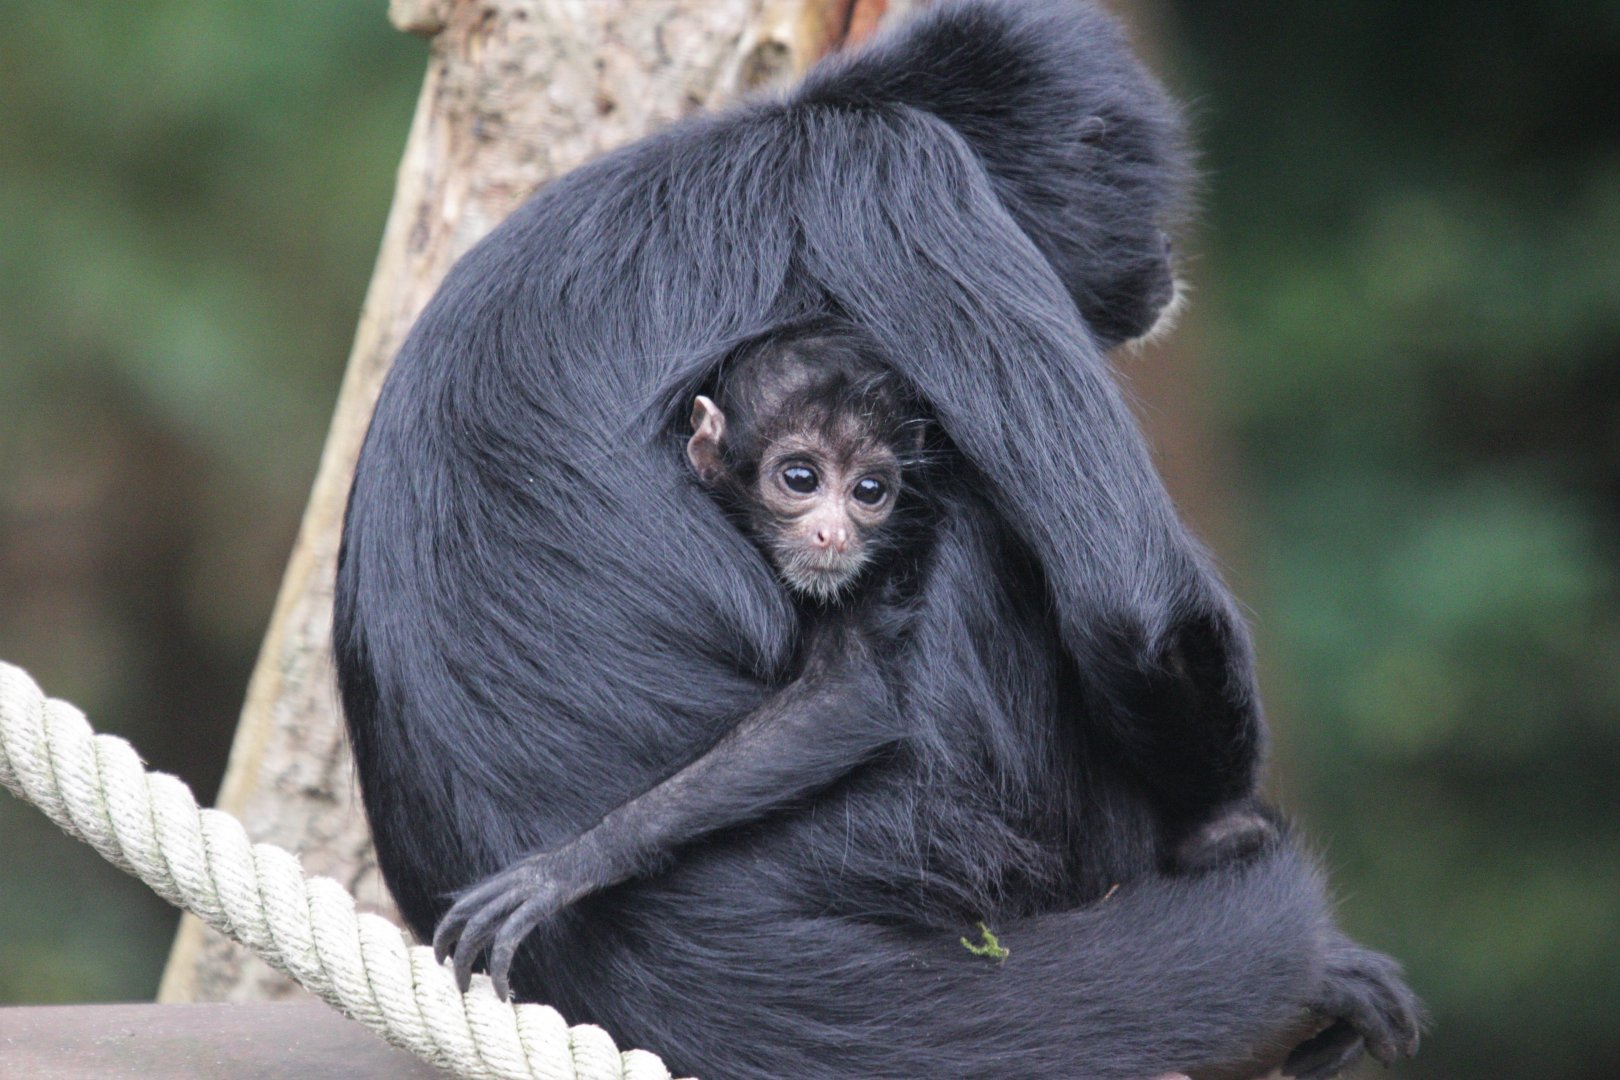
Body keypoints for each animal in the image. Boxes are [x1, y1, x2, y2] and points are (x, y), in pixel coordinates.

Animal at [335, 2, 1422, 1077]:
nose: (1163, 257)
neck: (824, 110)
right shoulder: (900, 175)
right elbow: (1137, 605)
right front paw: (1224, 833)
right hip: (928, 832)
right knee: (979, 526)